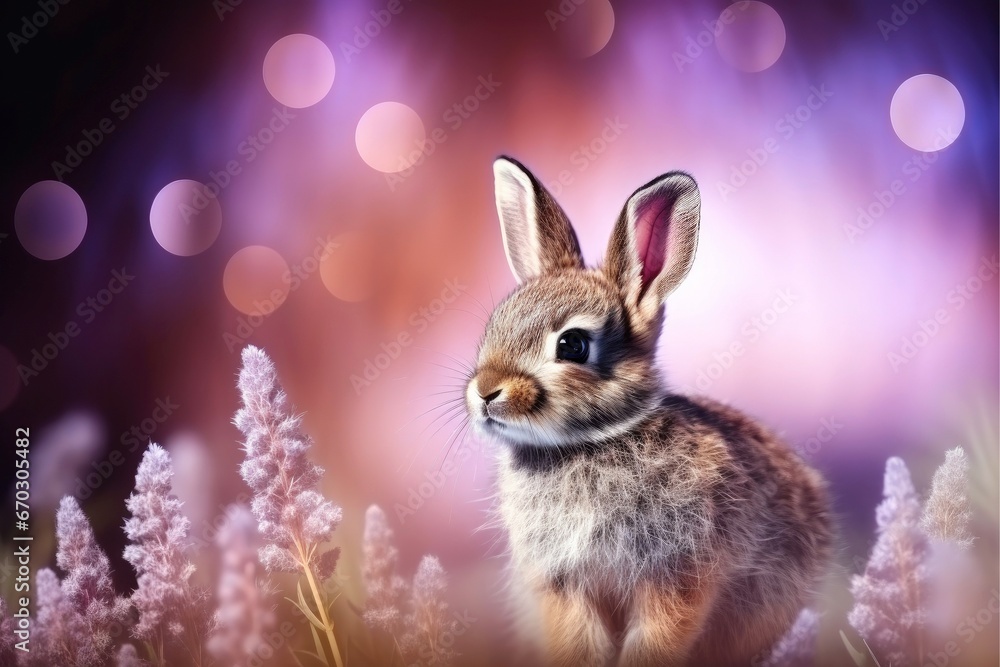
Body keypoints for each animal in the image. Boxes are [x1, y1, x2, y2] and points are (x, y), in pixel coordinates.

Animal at [463, 156, 833, 667]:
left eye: (572, 345)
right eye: (495, 324)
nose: (485, 392)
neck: (591, 442)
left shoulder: (677, 574)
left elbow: (657, 637)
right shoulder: (563, 586)